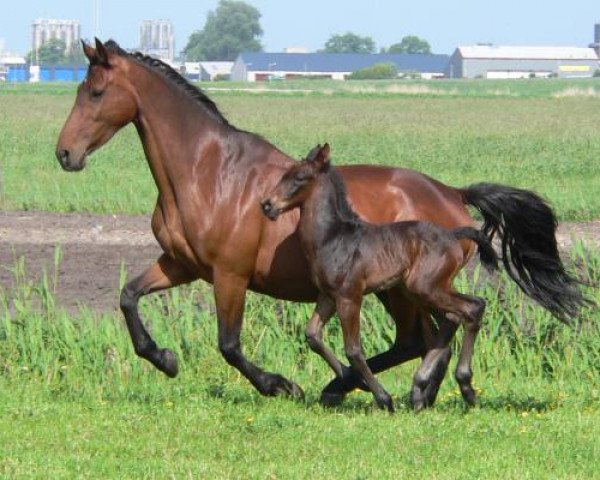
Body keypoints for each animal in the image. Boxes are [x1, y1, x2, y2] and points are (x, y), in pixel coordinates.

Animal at [260, 143, 500, 412]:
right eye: (283, 175)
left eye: (300, 178)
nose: (267, 205)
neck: (333, 238)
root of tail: (453, 234)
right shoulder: (328, 296)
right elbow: (312, 335)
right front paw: (349, 381)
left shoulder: (349, 296)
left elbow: (353, 349)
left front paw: (382, 398)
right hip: (420, 291)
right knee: (452, 319)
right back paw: (421, 390)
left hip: (425, 288)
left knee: (472, 307)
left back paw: (464, 387)